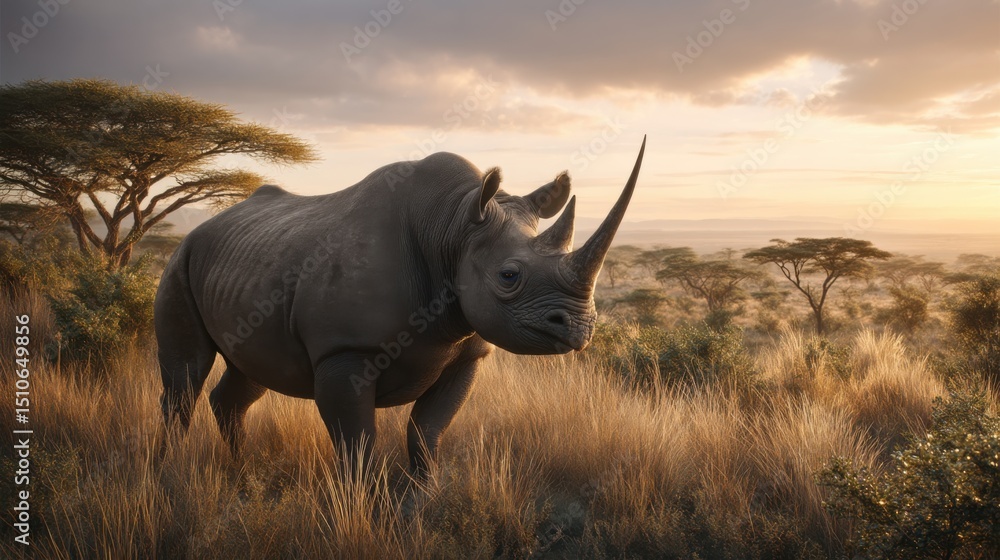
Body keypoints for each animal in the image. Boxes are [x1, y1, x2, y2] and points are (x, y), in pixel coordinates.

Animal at [155, 137, 645, 474]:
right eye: (509, 276)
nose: (579, 327)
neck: (452, 227)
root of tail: (202, 228)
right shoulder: (345, 350)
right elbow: (357, 445)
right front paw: (364, 515)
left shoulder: (467, 352)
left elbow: (426, 434)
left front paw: (419, 509)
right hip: (180, 262)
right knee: (185, 378)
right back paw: (168, 478)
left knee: (251, 373)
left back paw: (241, 472)